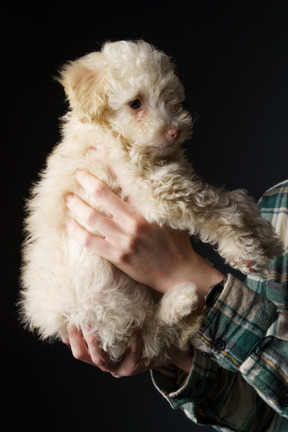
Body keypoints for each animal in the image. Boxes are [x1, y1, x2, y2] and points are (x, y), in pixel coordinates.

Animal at [19, 41, 282, 362]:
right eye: (135, 103)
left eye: (170, 98)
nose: (175, 131)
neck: (116, 135)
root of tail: (61, 321)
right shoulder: (156, 191)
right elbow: (220, 211)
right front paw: (244, 251)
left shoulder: (176, 178)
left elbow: (230, 200)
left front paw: (265, 237)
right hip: (105, 309)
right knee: (151, 333)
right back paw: (181, 301)